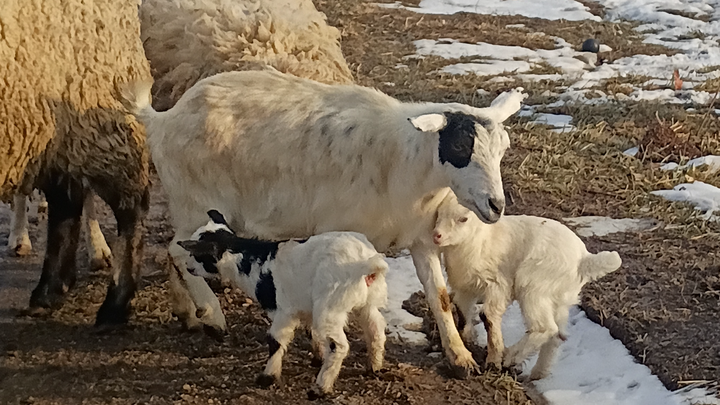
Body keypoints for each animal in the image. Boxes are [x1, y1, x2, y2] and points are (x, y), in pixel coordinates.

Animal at [0, 0, 152, 327]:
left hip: (94, 110)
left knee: (129, 206)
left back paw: (114, 303)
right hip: (55, 130)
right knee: (66, 201)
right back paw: (49, 292)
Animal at [121, 68, 527, 372]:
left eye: (503, 149)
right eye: (459, 146)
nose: (496, 205)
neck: (405, 163)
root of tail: (162, 119)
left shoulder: (422, 239)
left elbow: (439, 297)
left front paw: (460, 358)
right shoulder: (337, 229)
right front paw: (320, 348)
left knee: (172, 252)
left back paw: (189, 314)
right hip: (196, 201)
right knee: (178, 251)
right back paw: (212, 315)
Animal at [178, 210, 388, 397]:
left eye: (196, 255)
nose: (188, 267)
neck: (252, 263)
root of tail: (364, 263)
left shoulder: (284, 311)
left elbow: (276, 341)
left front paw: (267, 377)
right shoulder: (304, 306)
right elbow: (312, 332)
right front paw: (317, 358)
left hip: (330, 306)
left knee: (339, 345)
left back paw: (320, 388)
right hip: (366, 303)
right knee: (376, 329)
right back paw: (374, 367)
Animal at [432, 191, 622, 380]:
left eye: (463, 219)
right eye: (439, 214)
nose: (436, 235)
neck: (480, 240)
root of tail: (584, 260)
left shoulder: (498, 283)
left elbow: (489, 315)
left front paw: (494, 359)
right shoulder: (465, 288)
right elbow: (462, 310)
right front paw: (468, 337)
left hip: (534, 286)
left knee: (545, 328)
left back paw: (510, 357)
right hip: (560, 299)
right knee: (558, 335)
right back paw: (538, 372)